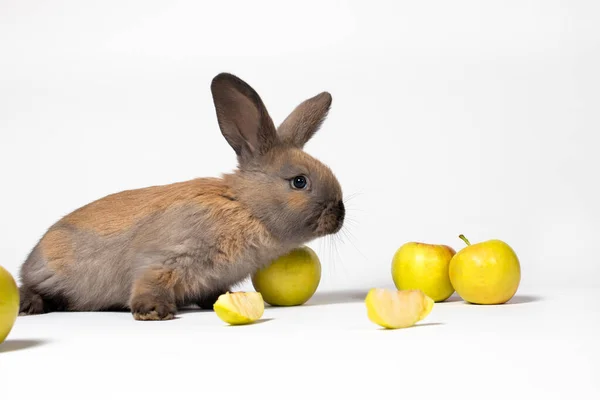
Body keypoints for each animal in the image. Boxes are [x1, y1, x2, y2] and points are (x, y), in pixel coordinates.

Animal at [18, 72, 344, 322]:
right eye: (299, 182)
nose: (340, 215)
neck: (245, 207)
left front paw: (232, 298)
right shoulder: (168, 256)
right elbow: (148, 282)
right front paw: (153, 312)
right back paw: (27, 305)